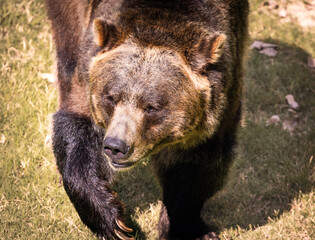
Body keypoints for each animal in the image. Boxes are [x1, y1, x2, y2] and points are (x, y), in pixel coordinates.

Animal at [45, 0, 251, 240]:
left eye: (152, 107)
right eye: (111, 97)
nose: (116, 146)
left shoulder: (221, 100)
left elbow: (196, 168)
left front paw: (187, 228)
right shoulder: (87, 74)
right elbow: (78, 131)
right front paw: (114, 221)